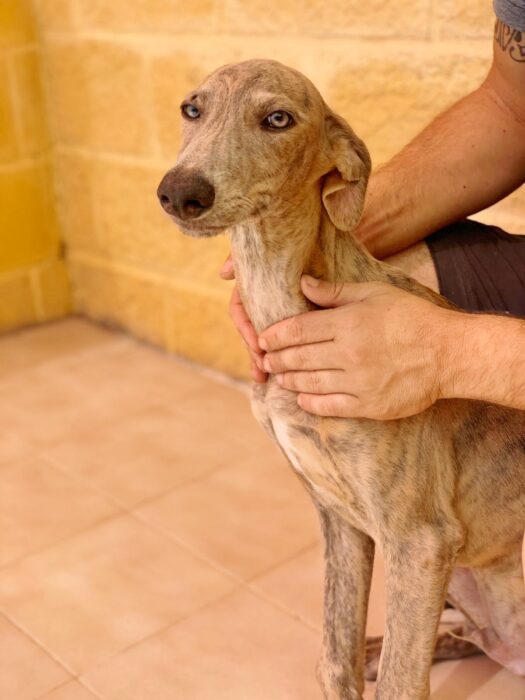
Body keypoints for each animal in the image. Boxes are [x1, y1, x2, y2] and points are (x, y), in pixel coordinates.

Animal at [157, 59, 525, 699]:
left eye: (278, 119)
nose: (180, 192)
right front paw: (356, 657)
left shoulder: (417, 538)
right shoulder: (341, 520)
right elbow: (333, 659)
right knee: (467, 636)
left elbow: (402, 685)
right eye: (191, 109)